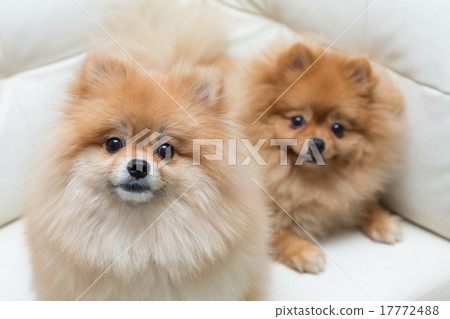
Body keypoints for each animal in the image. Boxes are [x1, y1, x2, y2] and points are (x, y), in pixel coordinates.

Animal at [225, 40, 404, 276]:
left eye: (338, 128)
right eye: (297, 120)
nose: (317, 142)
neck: (309, 180)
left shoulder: (349, 194)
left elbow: (363, 202)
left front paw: (383, 222)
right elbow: (275, 235)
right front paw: (304, 252)